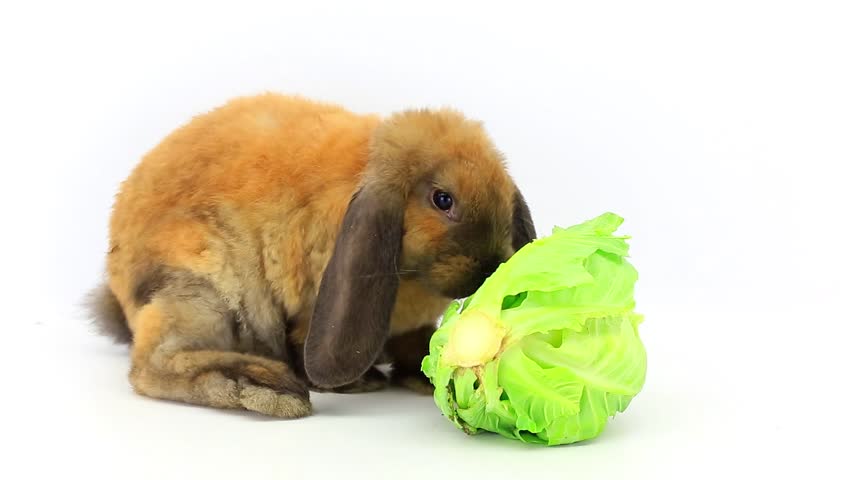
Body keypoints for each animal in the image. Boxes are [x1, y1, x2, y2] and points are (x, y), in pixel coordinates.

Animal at [87, 93, 536, 418]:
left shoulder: (410, 326)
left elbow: (418, 346)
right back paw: (265, 387)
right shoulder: (309, 308)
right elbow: (305, 344)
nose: (492, 267)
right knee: (151, 366)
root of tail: (119, 294)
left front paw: (429, 378)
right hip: (203, 291)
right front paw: (355, 384)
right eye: (443, 200)